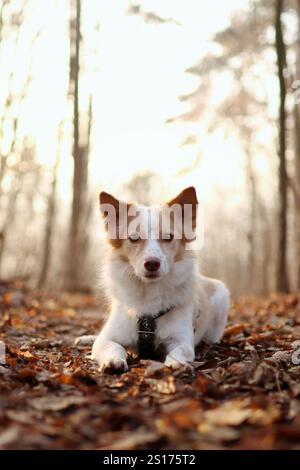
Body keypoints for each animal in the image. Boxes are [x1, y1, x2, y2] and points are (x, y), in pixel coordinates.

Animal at [78, 185, 229, 372]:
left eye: (168, 237)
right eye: (134, 238)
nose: (152, 263)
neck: (148, 291)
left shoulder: (182, 341)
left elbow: (179, 352)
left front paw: (176, 364)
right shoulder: (106, 339)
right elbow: (111, 345)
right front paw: (113, 360)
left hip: (221, 296)